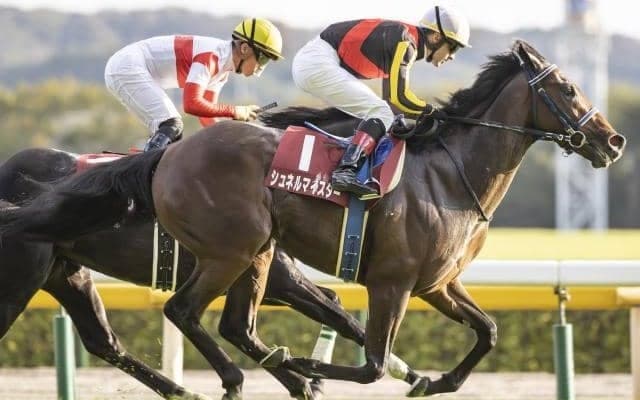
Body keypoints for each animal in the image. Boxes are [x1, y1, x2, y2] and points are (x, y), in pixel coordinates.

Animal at [0, 40, 625, 397]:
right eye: (568, 87)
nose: (613, 140)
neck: (449, 174)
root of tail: (167, 158)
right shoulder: (391, 282)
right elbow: (369, 357)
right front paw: (309, 365)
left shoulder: (437, 284)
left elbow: (487, 331)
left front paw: (431, 380)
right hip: (225, 251)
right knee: (185, 311)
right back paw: (238, 378)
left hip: (204, 259)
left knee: (152, 335)